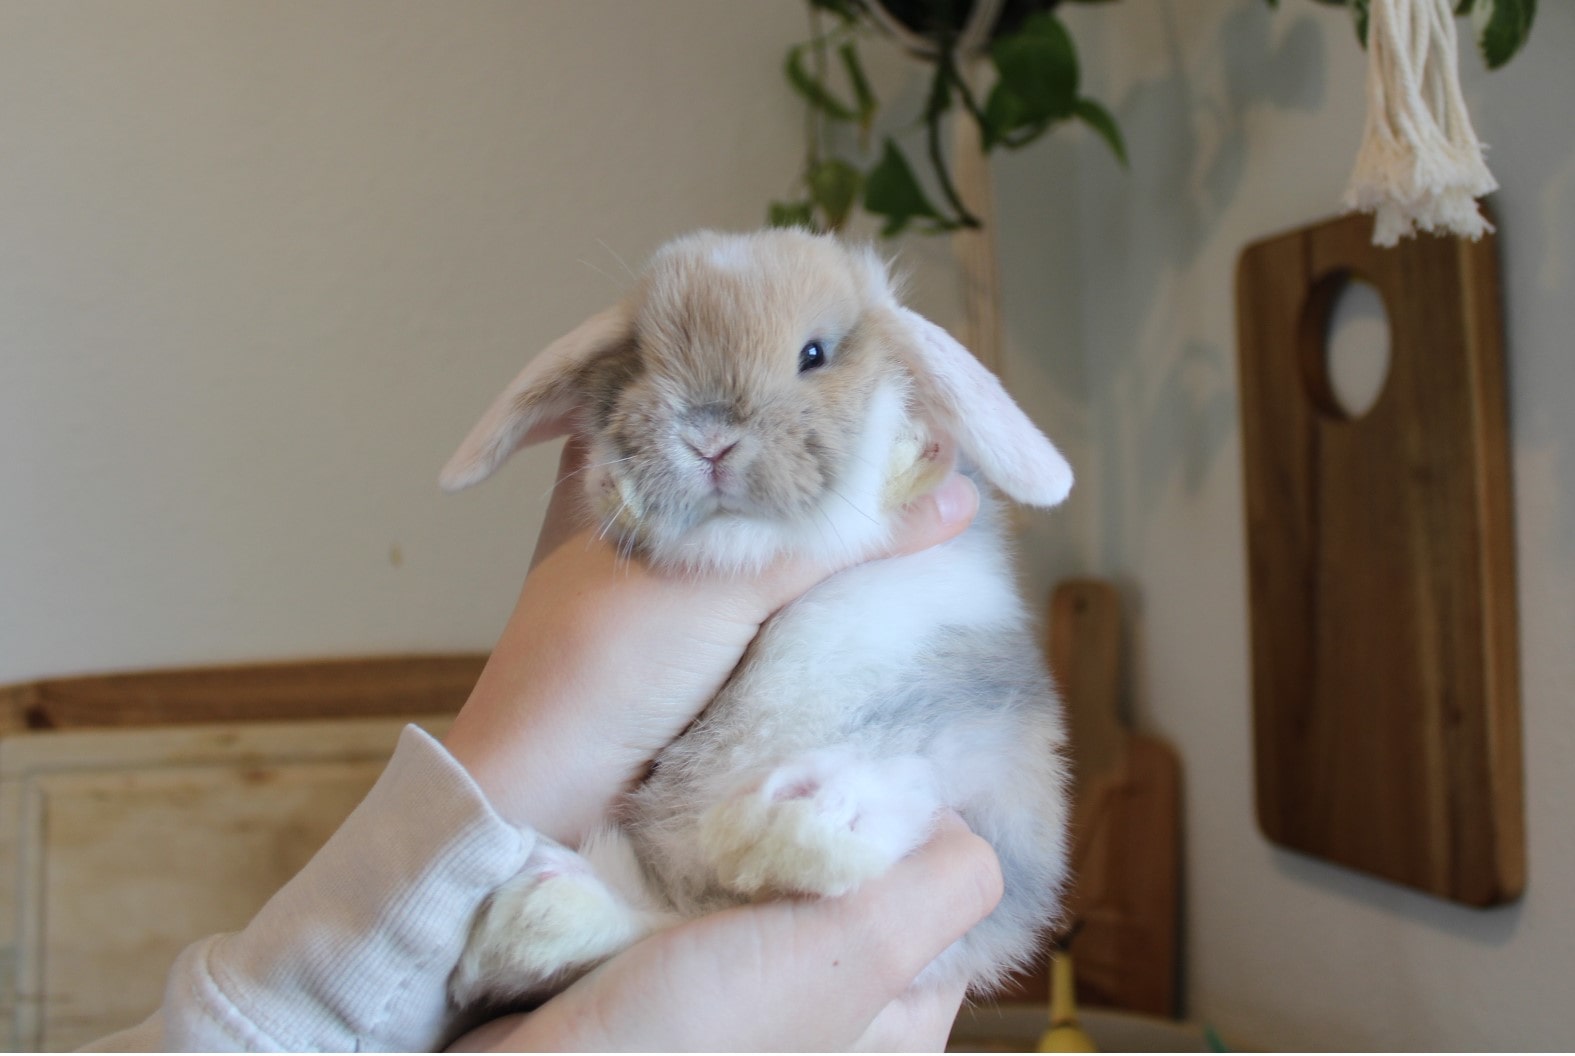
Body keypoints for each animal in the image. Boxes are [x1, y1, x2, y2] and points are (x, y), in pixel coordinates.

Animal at [438, 228, 1074, 1012]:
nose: (709, 439)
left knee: (899, 796)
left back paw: (795, 815)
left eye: (814, 354)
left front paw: (903, 456)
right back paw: (535, 918)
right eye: (641, 358)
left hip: (976, 755)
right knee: (657, 917)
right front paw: (617, 490)